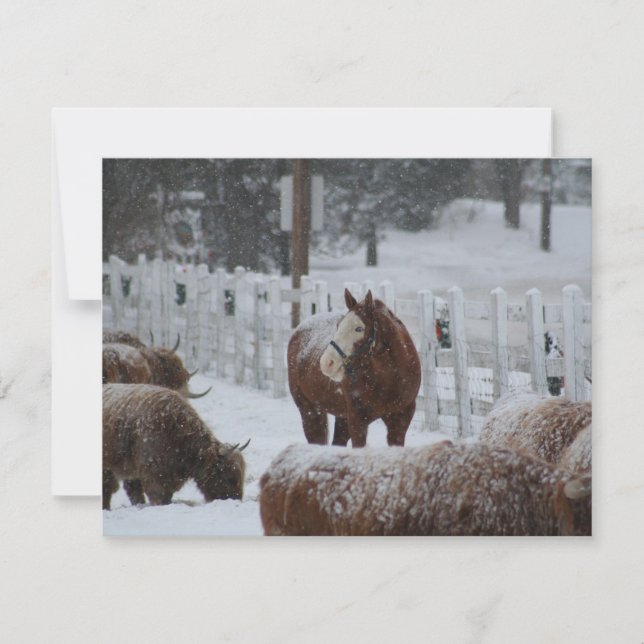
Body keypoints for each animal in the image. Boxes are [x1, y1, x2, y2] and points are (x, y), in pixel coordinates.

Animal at [287, 289, 421, 447]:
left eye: (359, 328)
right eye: (338, 325)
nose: (327, 363)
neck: (390, 378)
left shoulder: (400, 421)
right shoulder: (357, 422)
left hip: (341, 417)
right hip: (310, 411)